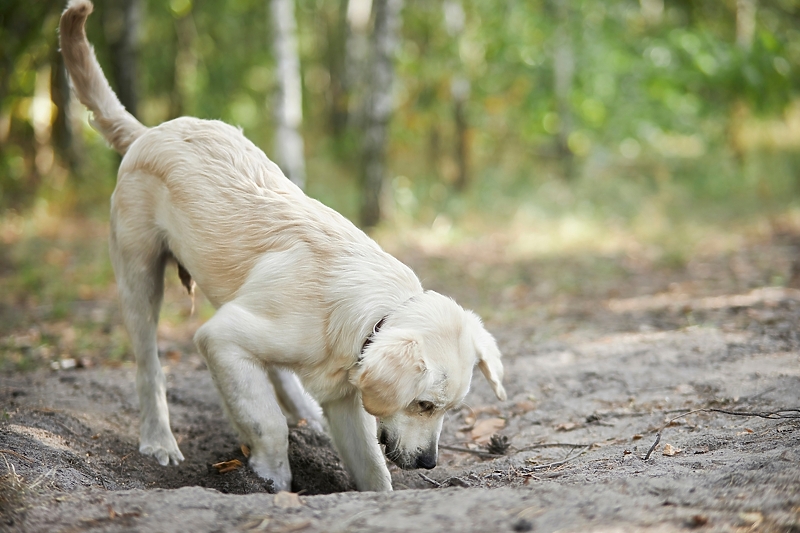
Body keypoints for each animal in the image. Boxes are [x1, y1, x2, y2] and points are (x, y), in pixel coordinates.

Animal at [61, 0, 506, 490]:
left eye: (451, 409)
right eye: (423, 404)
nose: (428, 463)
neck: (369, 316)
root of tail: (148, 131)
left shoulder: (345, 403)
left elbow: (372, 470)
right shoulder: (220, 339)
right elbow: (268, 423)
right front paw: (270, 478)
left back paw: (302, 408)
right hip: (139, 277)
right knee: (150, 369)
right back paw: (159, 441)